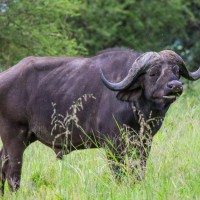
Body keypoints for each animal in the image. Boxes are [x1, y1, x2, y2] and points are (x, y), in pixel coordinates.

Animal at [0, 48, 200, 194]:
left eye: (176, 72)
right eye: (152, 73)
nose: (175, 86)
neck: (137, 108)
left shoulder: (144, 143)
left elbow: (139, 171)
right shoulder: (113, 145)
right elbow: (119, 173)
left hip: (22, 139)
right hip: (15, 137)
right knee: (13, 173)